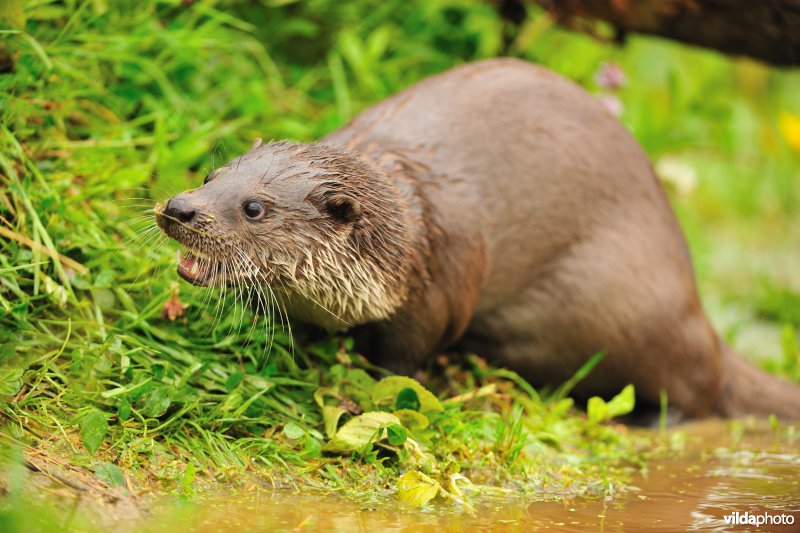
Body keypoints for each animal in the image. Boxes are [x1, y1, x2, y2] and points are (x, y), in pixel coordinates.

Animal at [157, 58, 800, 419]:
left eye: (254, 208)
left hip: (643, 320)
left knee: (700, 385)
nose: (180, 209)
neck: (410, 236)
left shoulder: (437, 291)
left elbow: (404, 361)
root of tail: (696, 302)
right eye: (210, 177)